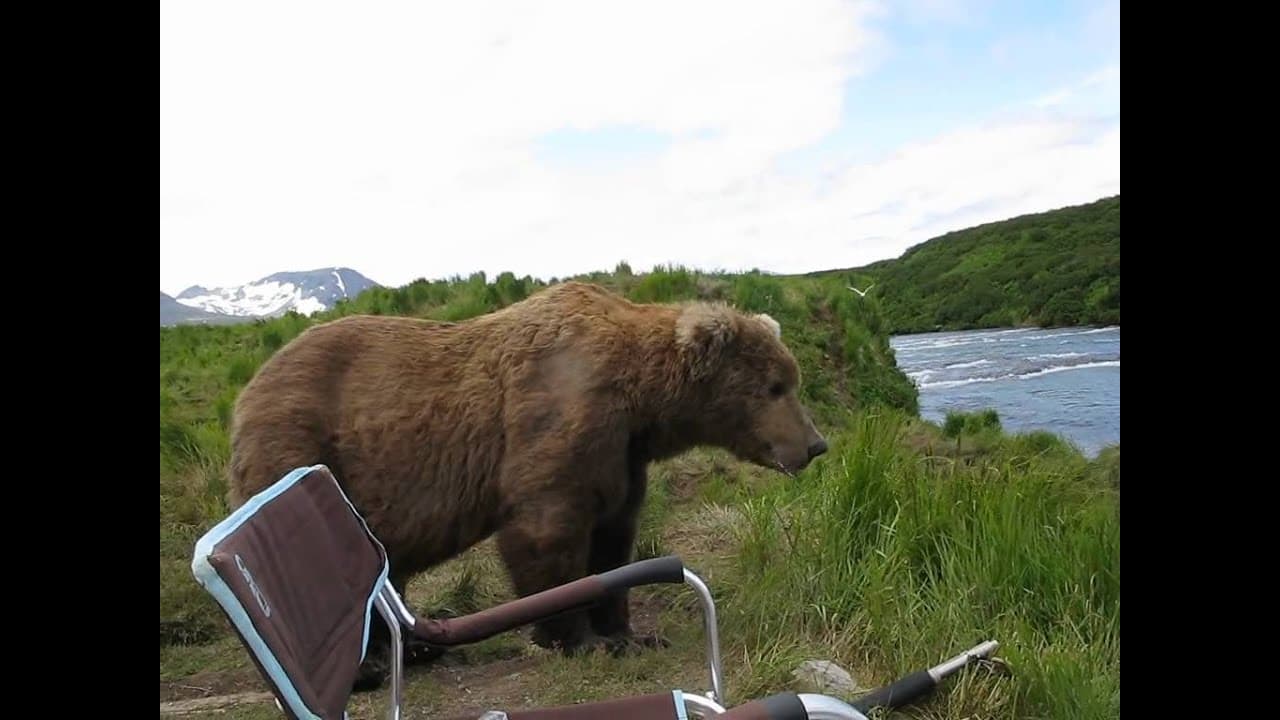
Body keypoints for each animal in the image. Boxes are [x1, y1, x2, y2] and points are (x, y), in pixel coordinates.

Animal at [225, 280, 828, 690]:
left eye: (790, 379)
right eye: (775, 387)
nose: (815, 444)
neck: (642, 400)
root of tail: (250, 387)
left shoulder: (622, 456)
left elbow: (614, 538)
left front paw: (629, 634)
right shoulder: (557, 419)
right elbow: (547, 532)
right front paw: (577, 639)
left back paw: (415, 648)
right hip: (302, 445)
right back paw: (369, 665)